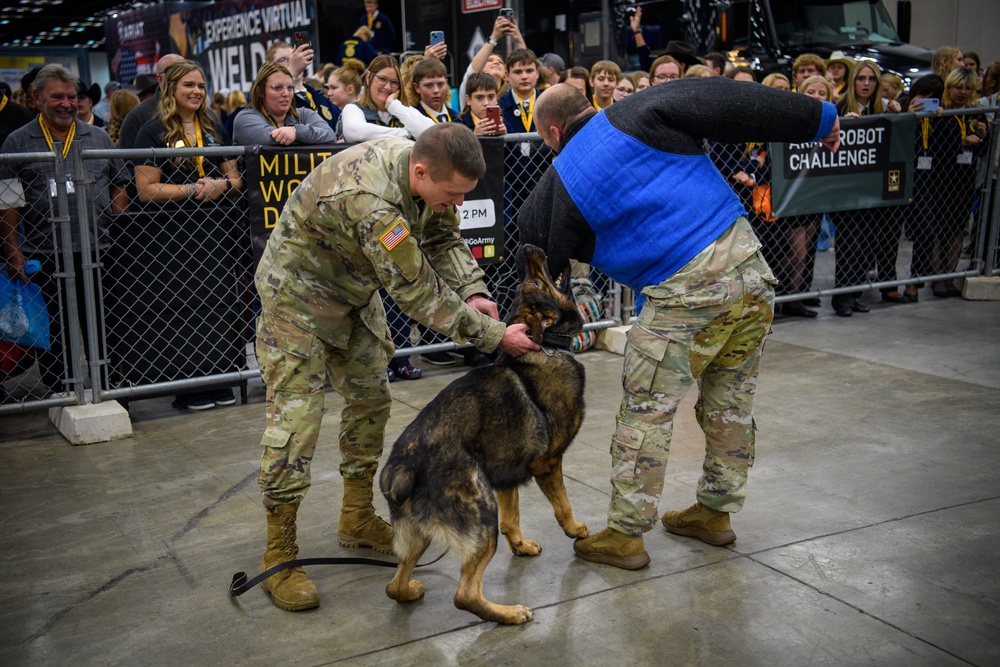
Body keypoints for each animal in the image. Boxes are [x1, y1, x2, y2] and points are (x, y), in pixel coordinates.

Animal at [378, 245, 588, 628]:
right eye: (535, 282)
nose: (527, 248)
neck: (543, 348)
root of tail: (403, 467)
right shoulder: (548, 464)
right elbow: (563, 504)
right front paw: (575, 529)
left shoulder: (504, 475)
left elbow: (512, 519)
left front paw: (520, 546)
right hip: (480, 514)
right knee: (465, 595)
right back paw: (509, 613)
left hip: (419, 535)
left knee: (395, 585)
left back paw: (411, 590)